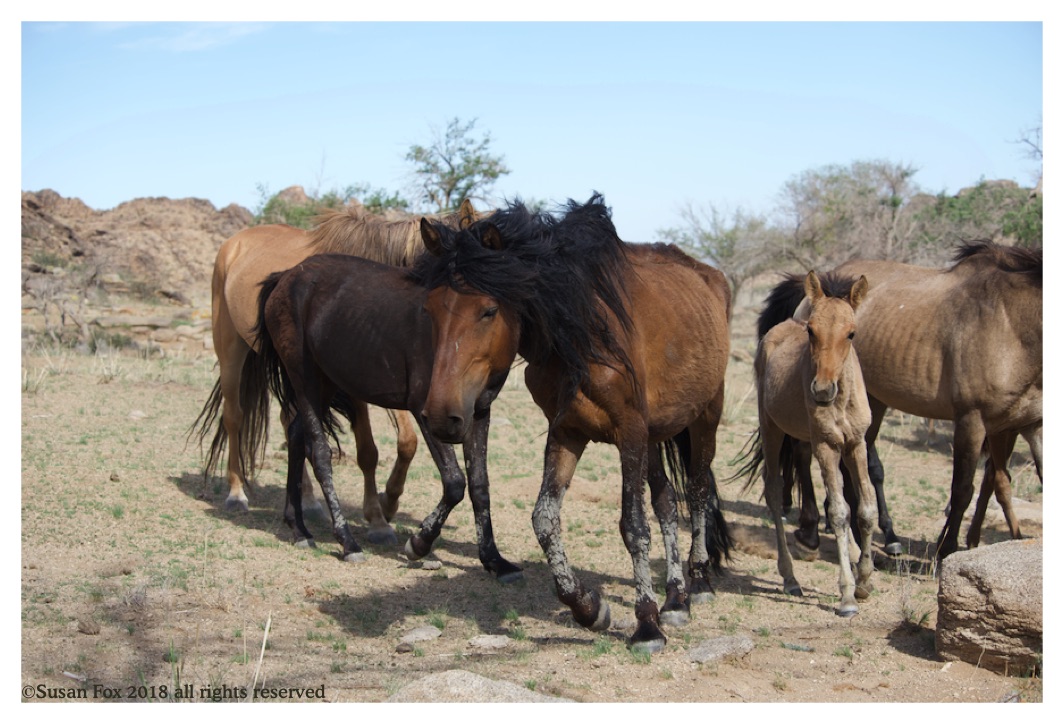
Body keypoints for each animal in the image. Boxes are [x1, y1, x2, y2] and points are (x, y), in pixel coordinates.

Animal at [190, 200, 477, 544]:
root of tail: (235, 244)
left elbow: (407, 442)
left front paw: (388, 503)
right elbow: (368, 451)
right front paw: (378, 520)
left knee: (290, 422)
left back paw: (309, 501)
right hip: (231, 349)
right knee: (235, 417)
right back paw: (236, 494)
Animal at [231, 251, 522, 579]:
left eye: (491, 311)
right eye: (434, 312)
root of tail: (286, 276)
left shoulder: (479, 412)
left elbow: (479, 485)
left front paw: (494, 560)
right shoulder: (426, 412)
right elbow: (455, 482)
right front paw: (418, 543)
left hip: (325, 383)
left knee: (295, 434)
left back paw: (299, 527)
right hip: (303, 377)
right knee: (318, 452)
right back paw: (347, 542)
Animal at [412, 195, 734, 654]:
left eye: (488, 310)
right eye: (430, 310)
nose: (441, 416)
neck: (579, 330)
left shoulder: (629, 435)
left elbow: (633, 527)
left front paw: (646, 625)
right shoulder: (569, 432)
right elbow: (544, 520)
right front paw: (589, 608)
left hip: (705, 418)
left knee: (698, 491)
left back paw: (699, 582)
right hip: (655, 437)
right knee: (668, 502)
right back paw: (675, 597)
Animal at [742, 271, 876, 617]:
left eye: (851, 333)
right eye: (812, 331)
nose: (822, 390)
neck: (842, 400)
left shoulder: (856, 444)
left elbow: (865, 508)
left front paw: (864, 580)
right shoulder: (827, 446)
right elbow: (840, 512)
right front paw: (847, 594)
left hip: (803, 437)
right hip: (771, 428)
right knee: (774, 491)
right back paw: (790, 577)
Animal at [772, 242, 1042, 560]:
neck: (1009, 322)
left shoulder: (1025, 426)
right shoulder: (972, 421)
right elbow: (962, 489)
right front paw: (945, 550)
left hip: (871, 404)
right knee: (803, 453)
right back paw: (813, 531)